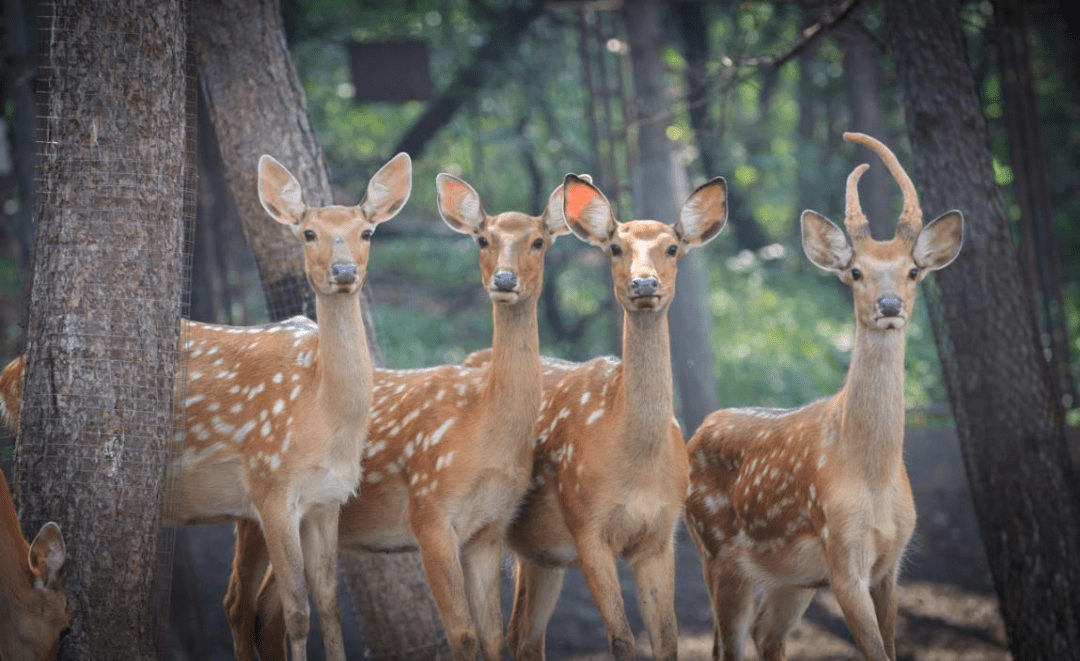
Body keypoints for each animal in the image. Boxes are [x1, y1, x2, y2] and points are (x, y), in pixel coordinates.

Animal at [221, 172, 574, 656]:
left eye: (538, 241)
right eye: (483, 239)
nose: (504, 279)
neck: (484, 429)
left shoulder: (489, 529)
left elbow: (493, 637)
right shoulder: (429, 511)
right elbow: (463, 635)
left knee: (267, 610)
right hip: (256, 507)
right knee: (238, 603)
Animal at [503, 172, 725, 656]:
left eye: (672, 248)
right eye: (616, 248)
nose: (644, 284)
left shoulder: (661, 536)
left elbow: (667, 639)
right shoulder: (587, 526)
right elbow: (622, 640)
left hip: (539, 552)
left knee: (523, 634)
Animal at [682, 132, 963, 661]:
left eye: (913, 271)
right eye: (855, 272)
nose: (889, 305)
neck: (871, 476)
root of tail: (693, 436)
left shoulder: (891, 564)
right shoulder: (842, 555)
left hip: (791, 580)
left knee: (764, 634)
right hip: (717, 551)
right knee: (728, 644)